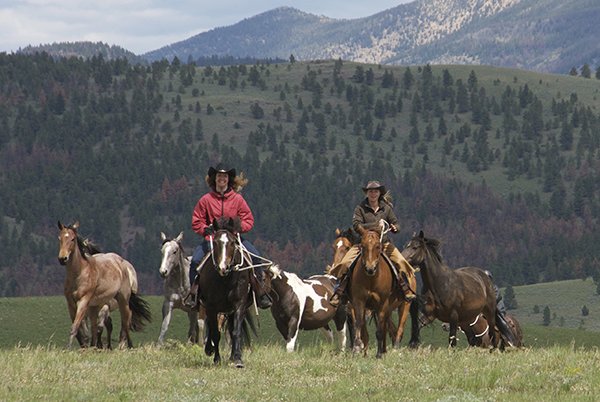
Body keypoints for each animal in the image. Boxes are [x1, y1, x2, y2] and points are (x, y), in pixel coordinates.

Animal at [57, 220, 152, 348]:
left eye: (72, 239)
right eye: (59, 238)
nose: (63, 258)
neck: (79, 274)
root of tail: (122, 262)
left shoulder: (86, 302)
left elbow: (82, 328)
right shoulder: (72, 305)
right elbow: (81, 332)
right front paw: (85, 347)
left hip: (123, 300)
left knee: (125, 324)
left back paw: (126, 346)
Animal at [197, 217, 258, 368]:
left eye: (232, 242)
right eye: (215, 242)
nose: (223, 267)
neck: (226, 280)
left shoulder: (239, 305)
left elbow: (236, 332)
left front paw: (237, 359)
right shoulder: (211, 307)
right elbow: (215, 333)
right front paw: (216, 358)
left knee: (231, 328)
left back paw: (231, 356)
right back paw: (209, 349)